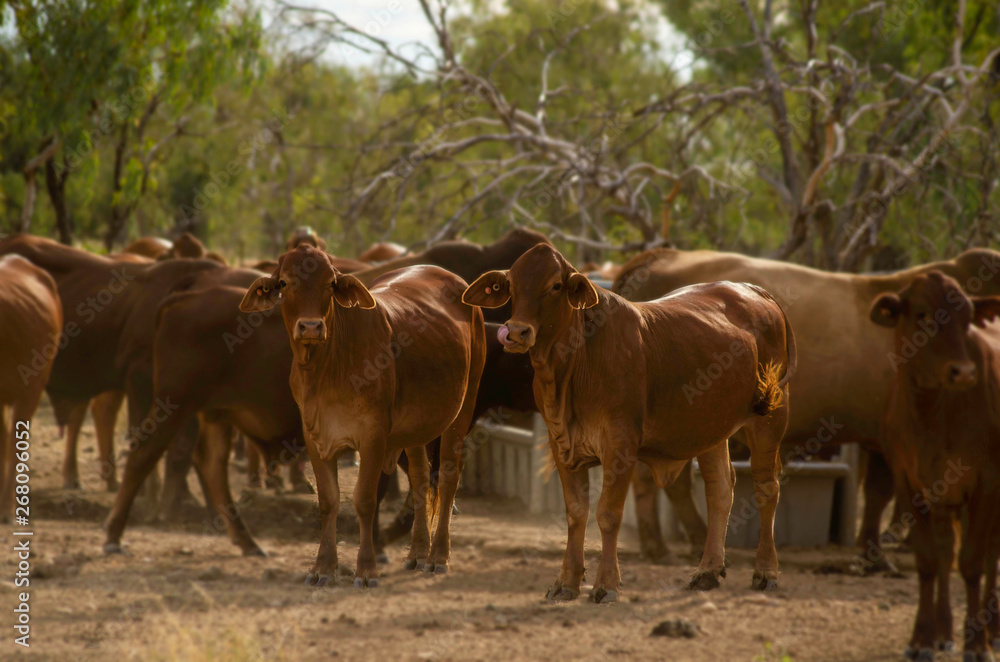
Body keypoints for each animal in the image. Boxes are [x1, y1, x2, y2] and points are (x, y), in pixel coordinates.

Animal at [239, 245, 486, 588]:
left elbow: (365, 500)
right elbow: (328, 501)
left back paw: (438, 557)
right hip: (416, 426)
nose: (311, 327)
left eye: (330, 283)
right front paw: (323, 568)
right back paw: (417, 552)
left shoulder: (372, 436)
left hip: (464, 405)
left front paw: (366, 570)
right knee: (421, 476)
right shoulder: (315, 436)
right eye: (284, 283)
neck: (326, 369)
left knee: (449, 474)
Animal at [463, 244, 796, 602]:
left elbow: (608, 514)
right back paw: (707, 571)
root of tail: (755, 291)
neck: (576, 364)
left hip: (770, 417)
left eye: (555, 285)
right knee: (720, 489)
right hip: (711, 428)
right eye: (510, 286)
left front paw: (606, 584)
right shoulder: (561, 444)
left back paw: (765, 572)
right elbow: (576, 513)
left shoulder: (620, 446)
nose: (516, 332)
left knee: (766, 488)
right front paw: (566, 582)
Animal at [614, 247, 1000, 571]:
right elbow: (883, 493)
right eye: (922, 315)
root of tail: (662, 255)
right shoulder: (891, 438)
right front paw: (875, 556)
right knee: (665, 483)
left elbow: (883, 494)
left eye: (968, 317)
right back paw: (682, 543)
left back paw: (670, 545)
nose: (962, 372)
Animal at [868, 271, 1000, 661]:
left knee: (991, 552)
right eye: (922, 315)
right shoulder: (909, 482)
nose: (963, 372)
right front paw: (922, 639)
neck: (933, 413)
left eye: (968, 318)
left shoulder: (987, 482)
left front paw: (977, 645)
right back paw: (945, 631)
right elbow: (929, 561)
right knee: (946, 552)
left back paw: (991, 629)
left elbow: (972, 563)